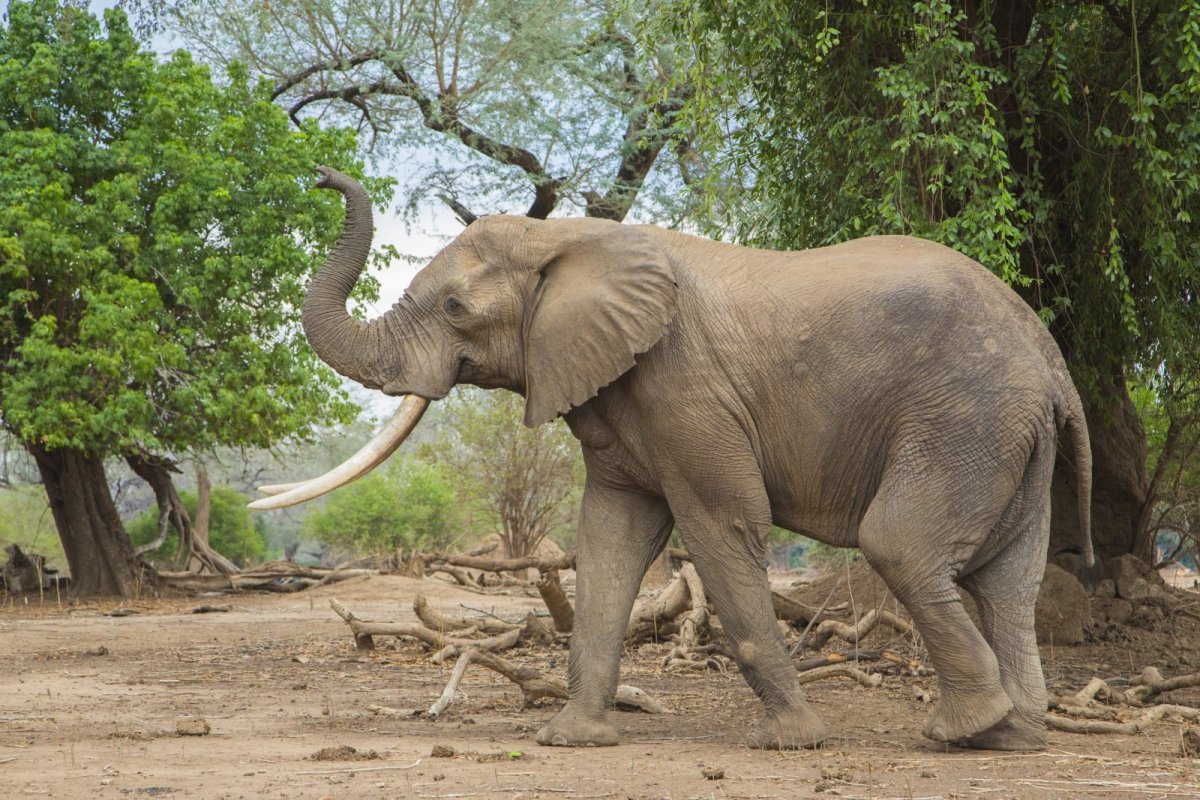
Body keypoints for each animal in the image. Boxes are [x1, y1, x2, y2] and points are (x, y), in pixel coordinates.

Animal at [252, 166, 1093, 752]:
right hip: (1007, 435)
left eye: (456, 308)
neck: (571, 239)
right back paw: (1011, 736)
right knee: (1008, 577)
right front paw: (570, 740)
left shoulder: (687, 389)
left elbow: (722, 525)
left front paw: (788, 742)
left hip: (965, 418)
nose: (321, 177)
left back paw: (962, 731)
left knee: (903, 545)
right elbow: (610, 538)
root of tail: (1052, 364)